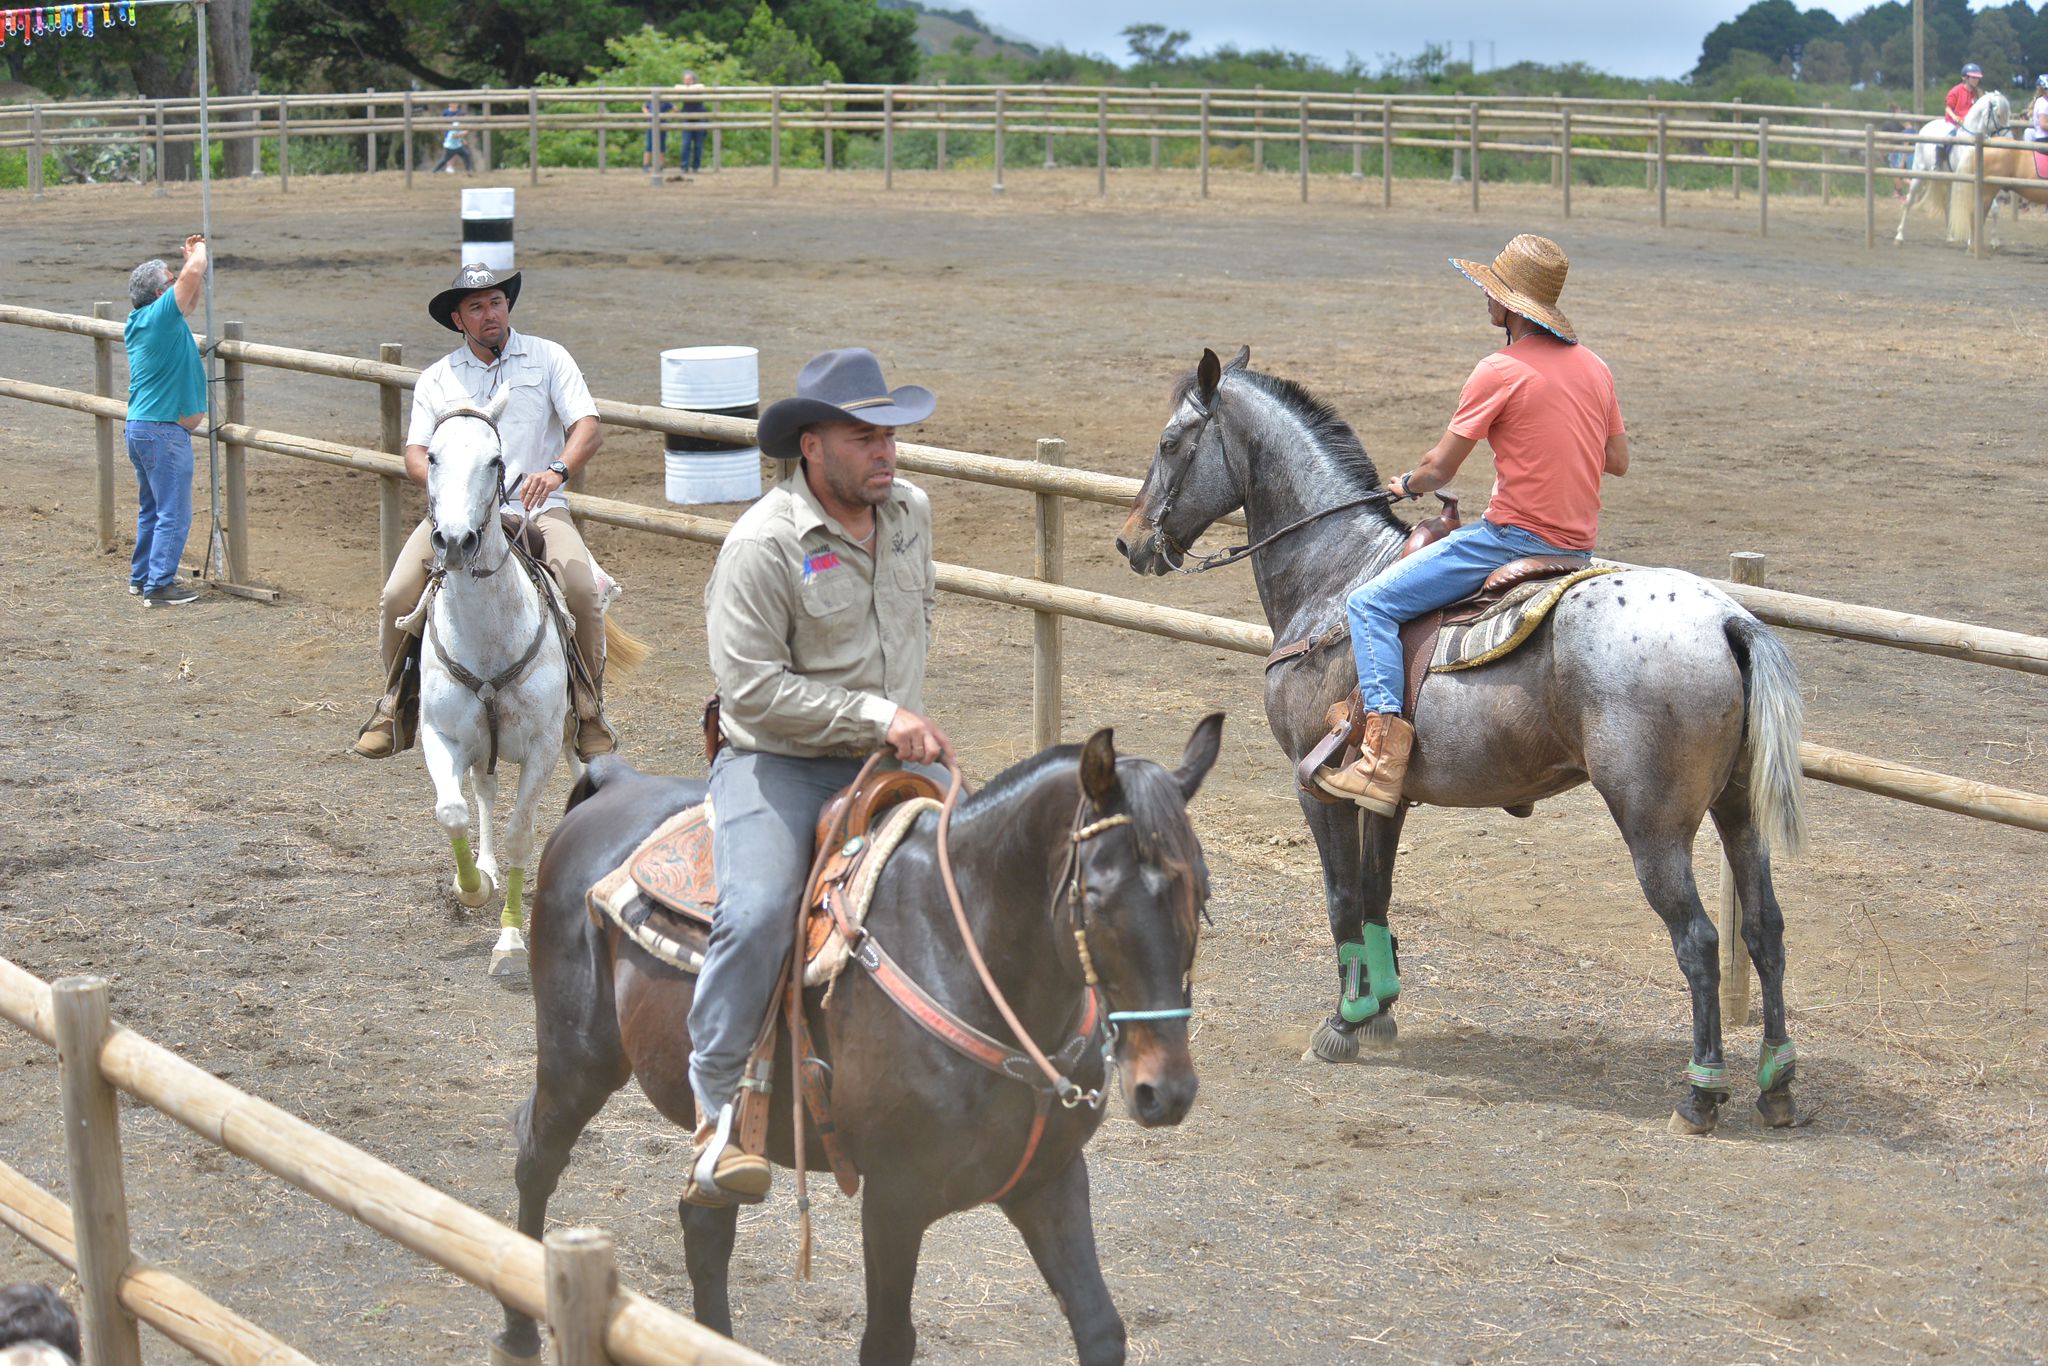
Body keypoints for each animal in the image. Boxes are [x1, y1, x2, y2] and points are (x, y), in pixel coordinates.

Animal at [415, 389, 577, 978]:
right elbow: (453, 811)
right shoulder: (441, 736)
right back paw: (481, 866)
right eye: (432, 456)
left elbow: (520, 834)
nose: (456, 541)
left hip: (575, 733)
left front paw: (509, 941)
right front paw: (472, 887)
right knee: (482, 793)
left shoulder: (542, 748)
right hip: (482, 746)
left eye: (494, 460)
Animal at [501, 720, 1220, 1359]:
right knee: (537, 1155)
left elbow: (1099, 1326)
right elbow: (888, 1341)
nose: (1167, 1090)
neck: (960, 951)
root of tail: (617, 783)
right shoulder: (895, 1198)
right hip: (577, 1060)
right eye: (1096, 894)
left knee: (704, 1224)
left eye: (1202, 888)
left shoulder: (1050, 1178)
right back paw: (517, 1331)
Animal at [1114, 348, 1802, 1138]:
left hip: (1653, 827)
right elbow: (1377, 894)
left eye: (1170, 442)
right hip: (1738, 812)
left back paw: (1702, 1093)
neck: (1336, 577)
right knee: (1765, 929)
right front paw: (1379, 1008)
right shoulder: (1384, 793)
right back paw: (1777, 1083)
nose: (1130, 540)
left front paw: (1344, 1021)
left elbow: (1342, 898)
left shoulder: (1314, 785)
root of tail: (1725, 621)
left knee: (1699, 941)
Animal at [1884, 92, 2015, 246]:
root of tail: (1926, 126)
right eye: (1999, 115)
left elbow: (1994, 209)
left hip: (1949, 180)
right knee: (1908, 202)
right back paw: (1899, 236)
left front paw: (1994, 241)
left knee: (1946, 204)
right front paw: (1972, 241)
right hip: (1919, 176)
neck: (1972, 142)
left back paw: (1949, 236)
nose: (2010, 140)